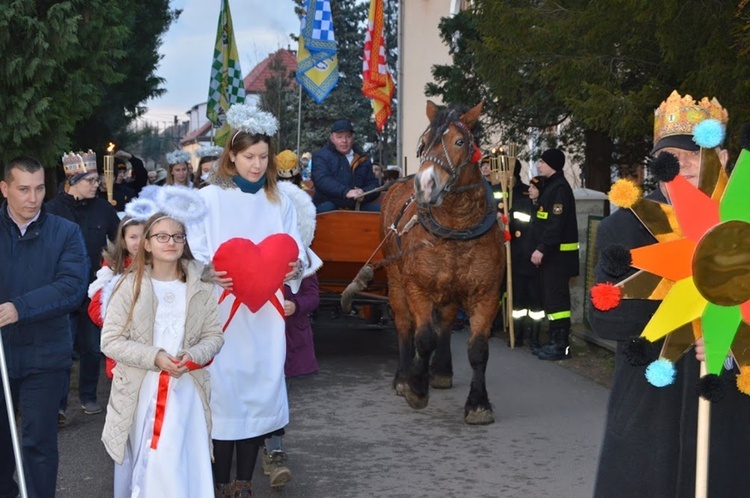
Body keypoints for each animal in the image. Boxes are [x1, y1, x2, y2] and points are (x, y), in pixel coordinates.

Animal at [382, 100, 506, 424]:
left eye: (460, 142)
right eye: (424, 142)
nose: (425, 185)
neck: (456, 227)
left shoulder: (487, 293)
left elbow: (478, 349)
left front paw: (478, 404)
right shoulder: (418, 287)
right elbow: (423, 337)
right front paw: (415, 387)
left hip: (451, 292)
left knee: (447, 322)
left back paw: (439, 371)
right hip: (395, 280)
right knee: (405, 324)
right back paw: (403, 376)